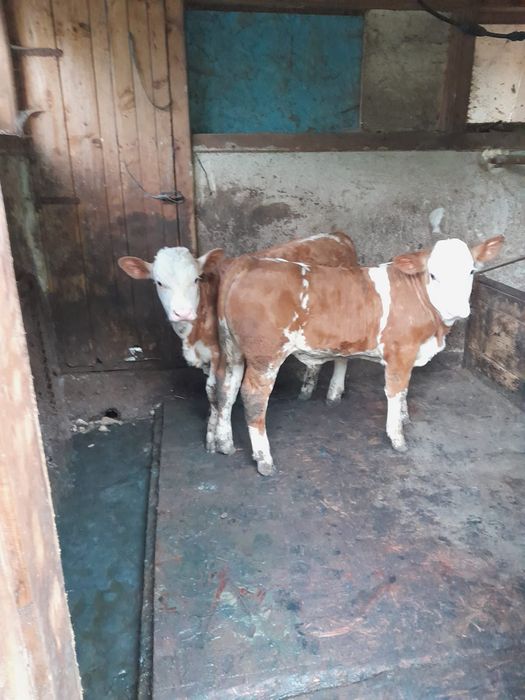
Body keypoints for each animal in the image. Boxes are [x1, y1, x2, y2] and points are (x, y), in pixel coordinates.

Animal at [117, 231, 358, 450]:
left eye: (196, 279)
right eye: (159, 282)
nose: (182, 312)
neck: (192, 336)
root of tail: (337, 236)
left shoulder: (221, 354)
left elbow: (216, 392)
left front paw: (214, 438)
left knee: (343, 357)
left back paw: (334, 392)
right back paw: (307, 390)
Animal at [214, 235, 504, 476]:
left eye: (471, 271)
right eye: (433, 275)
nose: (458, 309)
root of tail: (247, 262)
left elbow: (405, 390)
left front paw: (404, 416)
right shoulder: (400, 352)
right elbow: (395, 391)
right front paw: (397, 437)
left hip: (232, 351)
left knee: (226, 390)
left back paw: (224, 443)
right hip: (266, 355)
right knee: (253, 397)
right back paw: (264, 460)